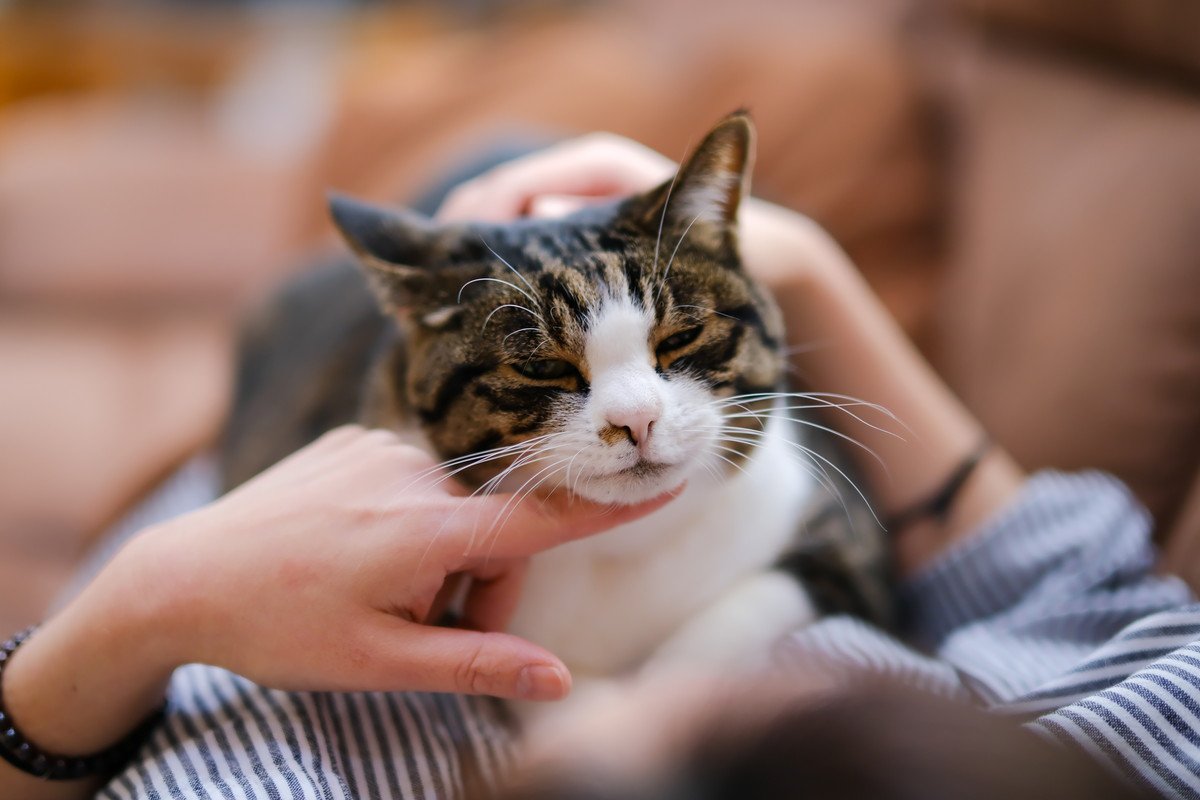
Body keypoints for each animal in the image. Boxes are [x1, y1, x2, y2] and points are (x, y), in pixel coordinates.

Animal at [220, 112, 888, 700]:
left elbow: (731, 625)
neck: (624, 551)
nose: (636, 420)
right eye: (543, 368)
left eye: (680, 338)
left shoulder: (846, 548)